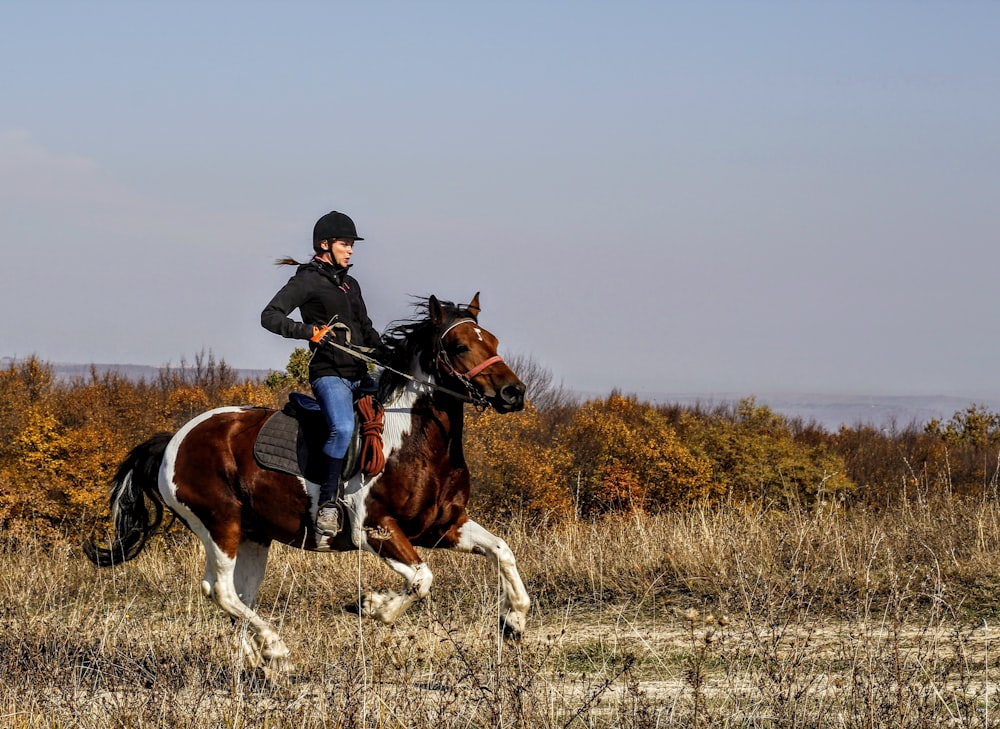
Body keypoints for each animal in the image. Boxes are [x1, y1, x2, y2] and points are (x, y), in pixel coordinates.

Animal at [86, 292, 532, 668]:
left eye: (492, 340)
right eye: (459, 346)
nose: (513, 393)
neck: (413, 440)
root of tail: (175, 440)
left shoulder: (442, 526)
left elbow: (502, 551)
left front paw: (513, 621)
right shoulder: (376, 530)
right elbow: (423, 579)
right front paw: (372, 606)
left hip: (254, 535)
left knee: (238, 596)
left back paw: (258, 661)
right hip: (219, 524)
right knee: (221, 590)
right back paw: (276, 649)